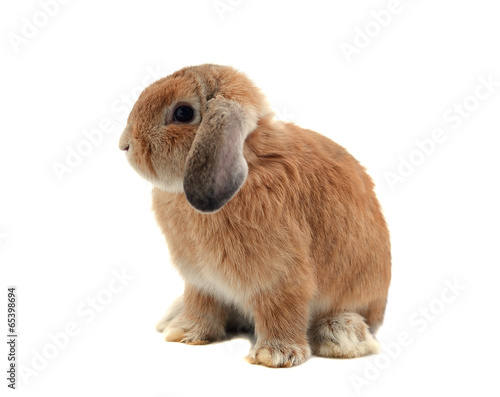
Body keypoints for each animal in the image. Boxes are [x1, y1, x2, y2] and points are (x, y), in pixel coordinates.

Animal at [118, 64, 390, 366]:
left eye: (183, 113)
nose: (125, 144)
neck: (250, 160)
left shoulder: (280, 277)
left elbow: (281, 310)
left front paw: (275, 355)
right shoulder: (201, 281)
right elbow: (201, 305)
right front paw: (184, 333)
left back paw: (341, 335)